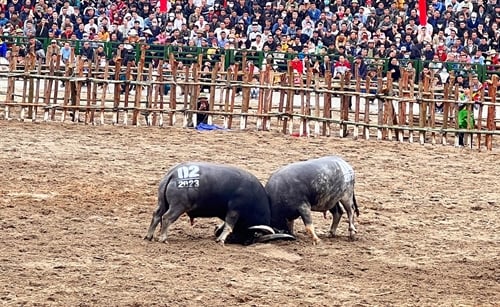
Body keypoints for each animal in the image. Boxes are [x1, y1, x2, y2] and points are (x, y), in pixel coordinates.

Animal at [145, 162, 292, 247]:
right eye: (255, 235)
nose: (246, 243)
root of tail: (172, 174)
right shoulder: (234, 211)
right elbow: (229, 226)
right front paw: (221, 240)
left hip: (162, 203)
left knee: (156, 215)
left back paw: (149, 236)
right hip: (178, 206)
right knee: (166, 218)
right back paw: (163, 238)